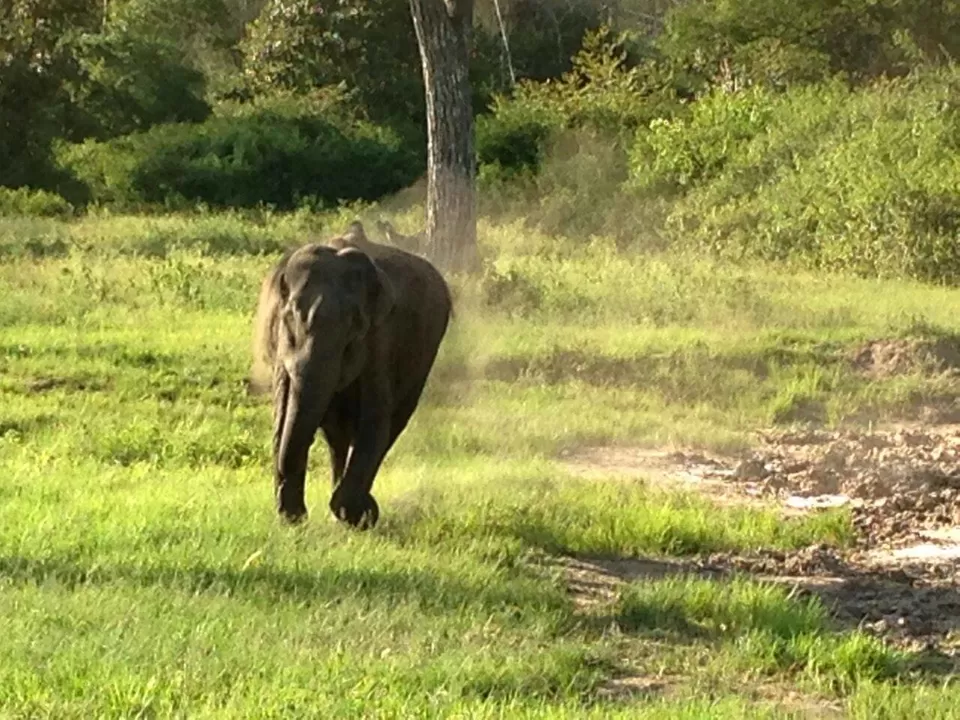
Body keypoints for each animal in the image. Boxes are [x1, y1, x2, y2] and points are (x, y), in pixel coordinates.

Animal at [251, 219, 454, 528]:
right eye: (289, 317)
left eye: (355, 326)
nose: (297, 516)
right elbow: (283, 417)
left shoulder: (380, 338)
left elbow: (374, 421)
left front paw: (358, 513)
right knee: (337, 435)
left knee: (391, 424)